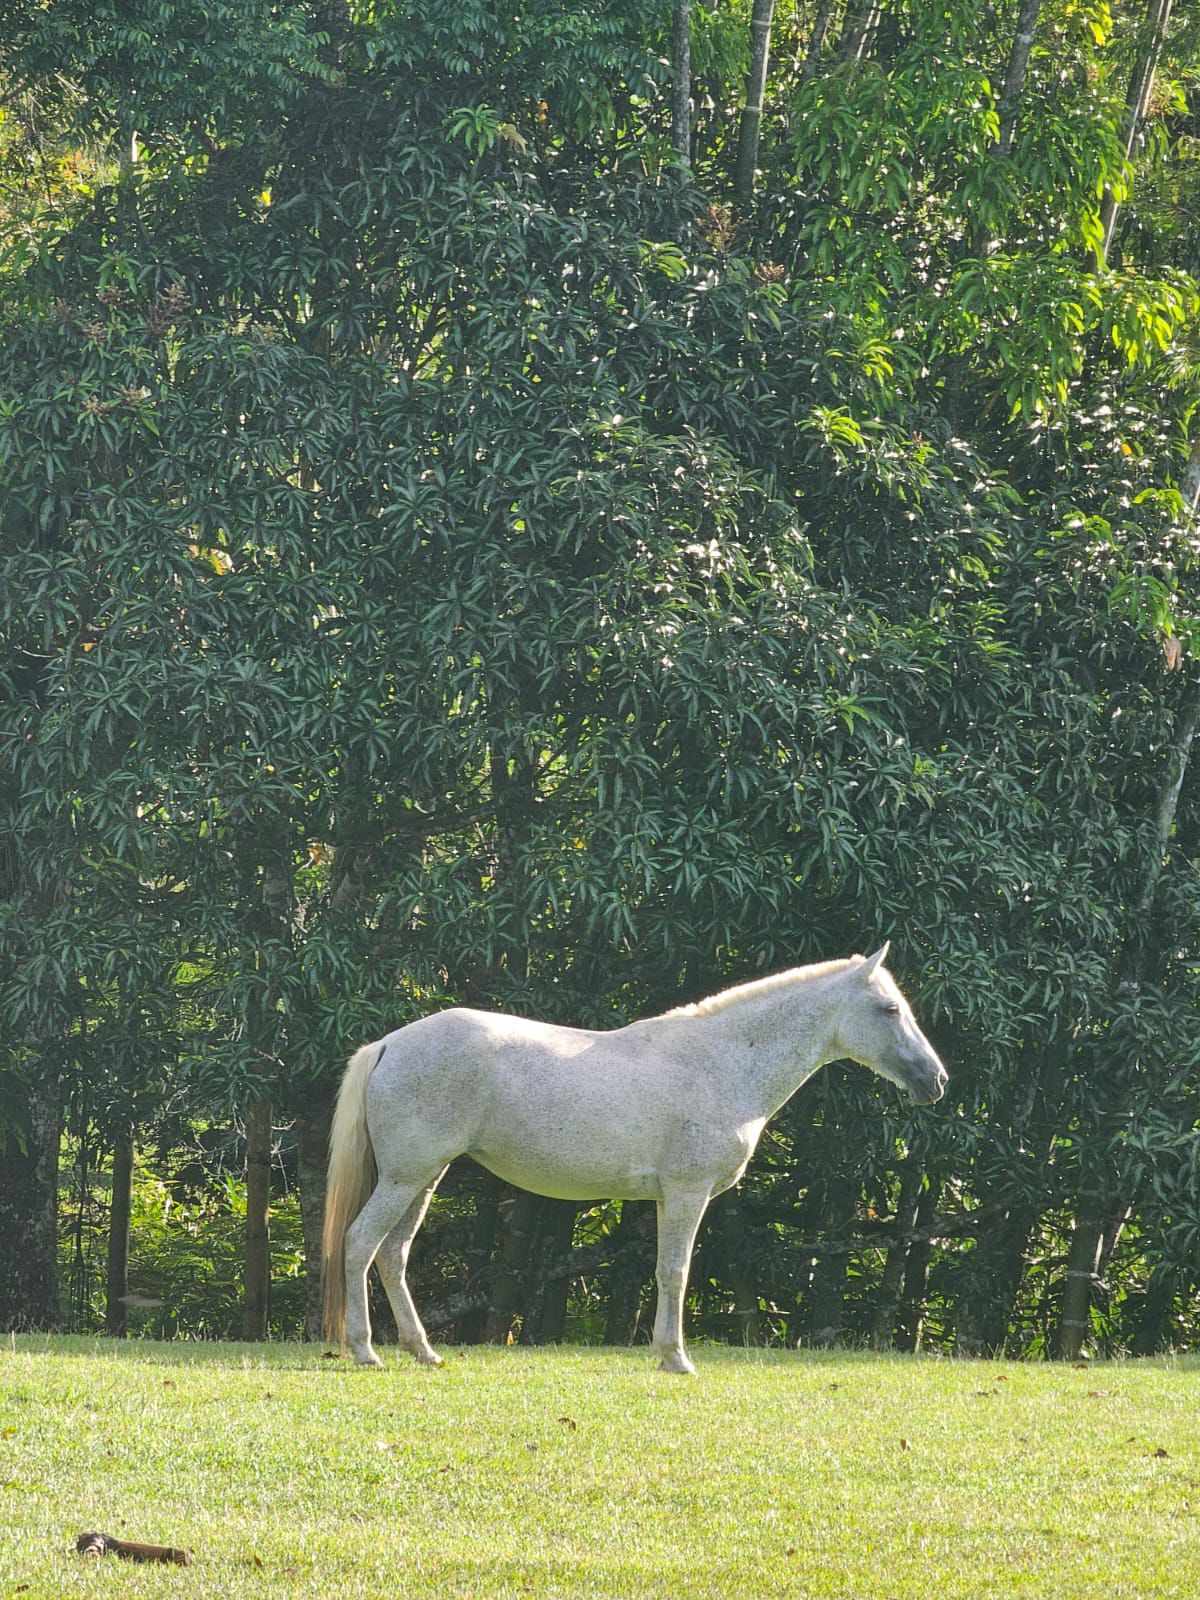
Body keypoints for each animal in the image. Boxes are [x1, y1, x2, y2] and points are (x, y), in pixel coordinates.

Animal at [322, 943, 947, 1374]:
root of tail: (388, 1044)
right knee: (360, 1244)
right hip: (405, 1178)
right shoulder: (688, 1193)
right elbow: (675, 1272)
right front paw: (676, 1358)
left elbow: (666, 1271)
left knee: (393, 1255)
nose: (936, 1080)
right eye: (889, 1009)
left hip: (424, 1177)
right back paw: (365, 1351)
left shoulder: (673, 1197)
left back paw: (423, 1350)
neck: (722, 1062)